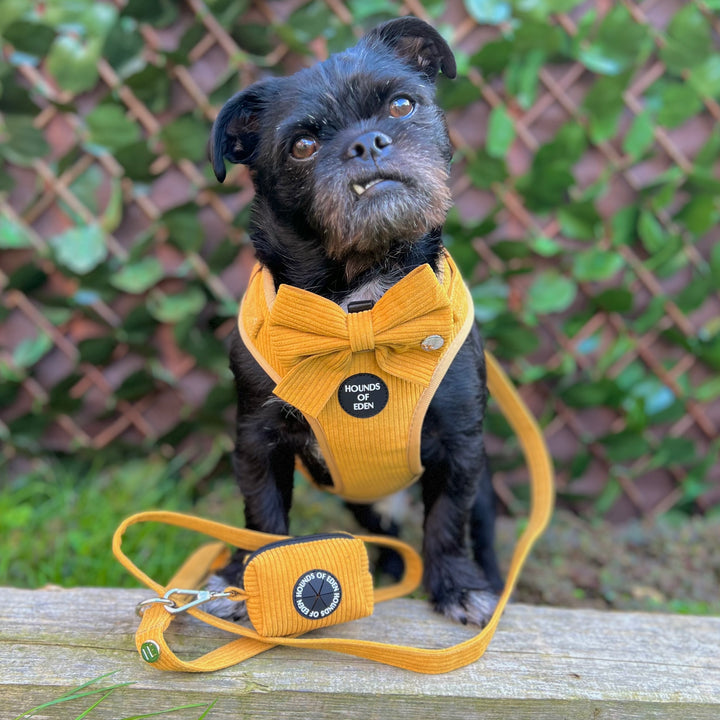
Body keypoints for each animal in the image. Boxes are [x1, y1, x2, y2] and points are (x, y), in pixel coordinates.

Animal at [205, 16, 504, 624]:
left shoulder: (460, 446)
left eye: (401, 105)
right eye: (302, 145)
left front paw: (457, 588)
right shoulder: (258, 444)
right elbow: (262, 522)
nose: (366, 143)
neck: (359, 305)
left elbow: (447, 523)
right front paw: (245, 581)